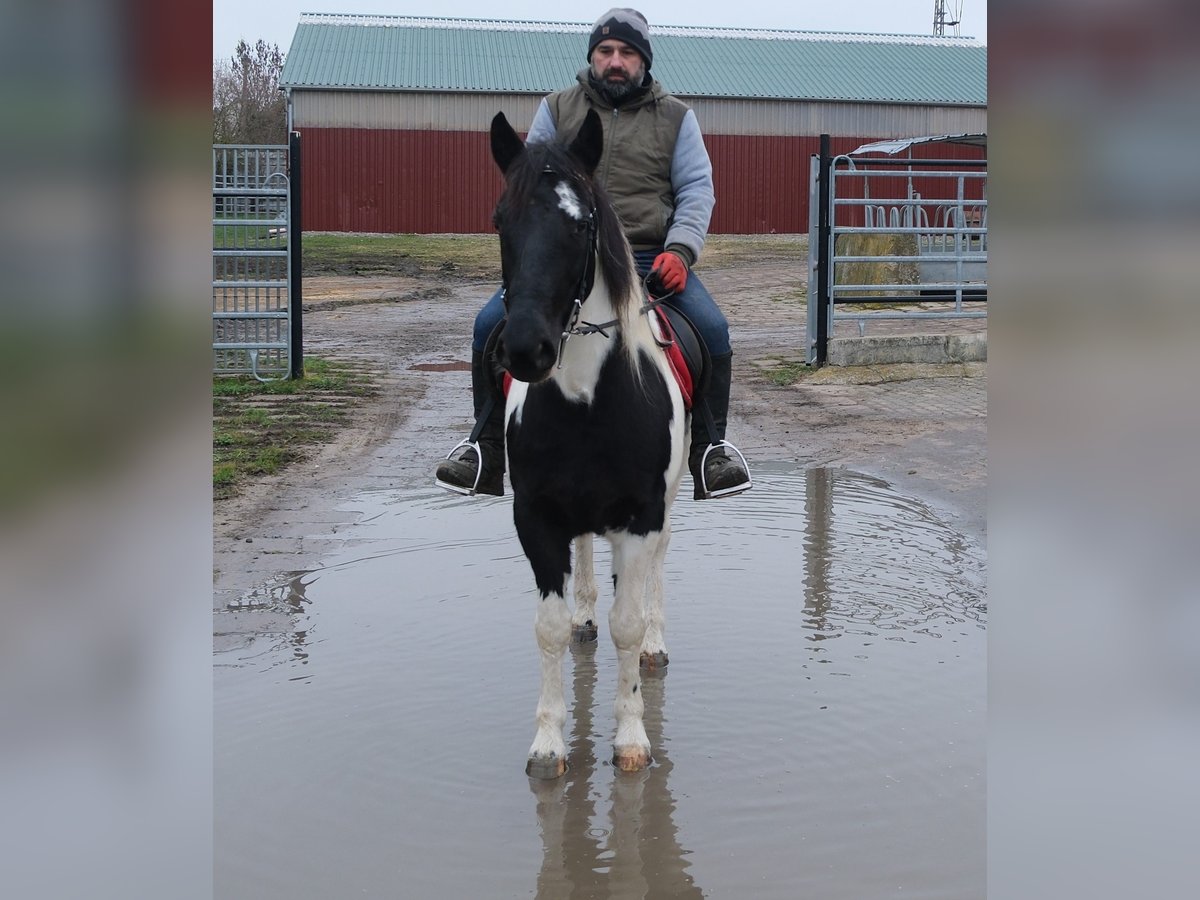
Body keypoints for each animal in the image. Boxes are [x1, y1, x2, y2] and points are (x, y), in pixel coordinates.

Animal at [488, 109, 688, 778]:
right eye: (501, 220)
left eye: (581, 225)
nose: (526, 348)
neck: (585, 401)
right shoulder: (537, 518)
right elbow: (547, 628)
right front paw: (549, 744)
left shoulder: (642, 516)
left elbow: (626, 624)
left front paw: (631, 738)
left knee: (654, 577)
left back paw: (655, 641)